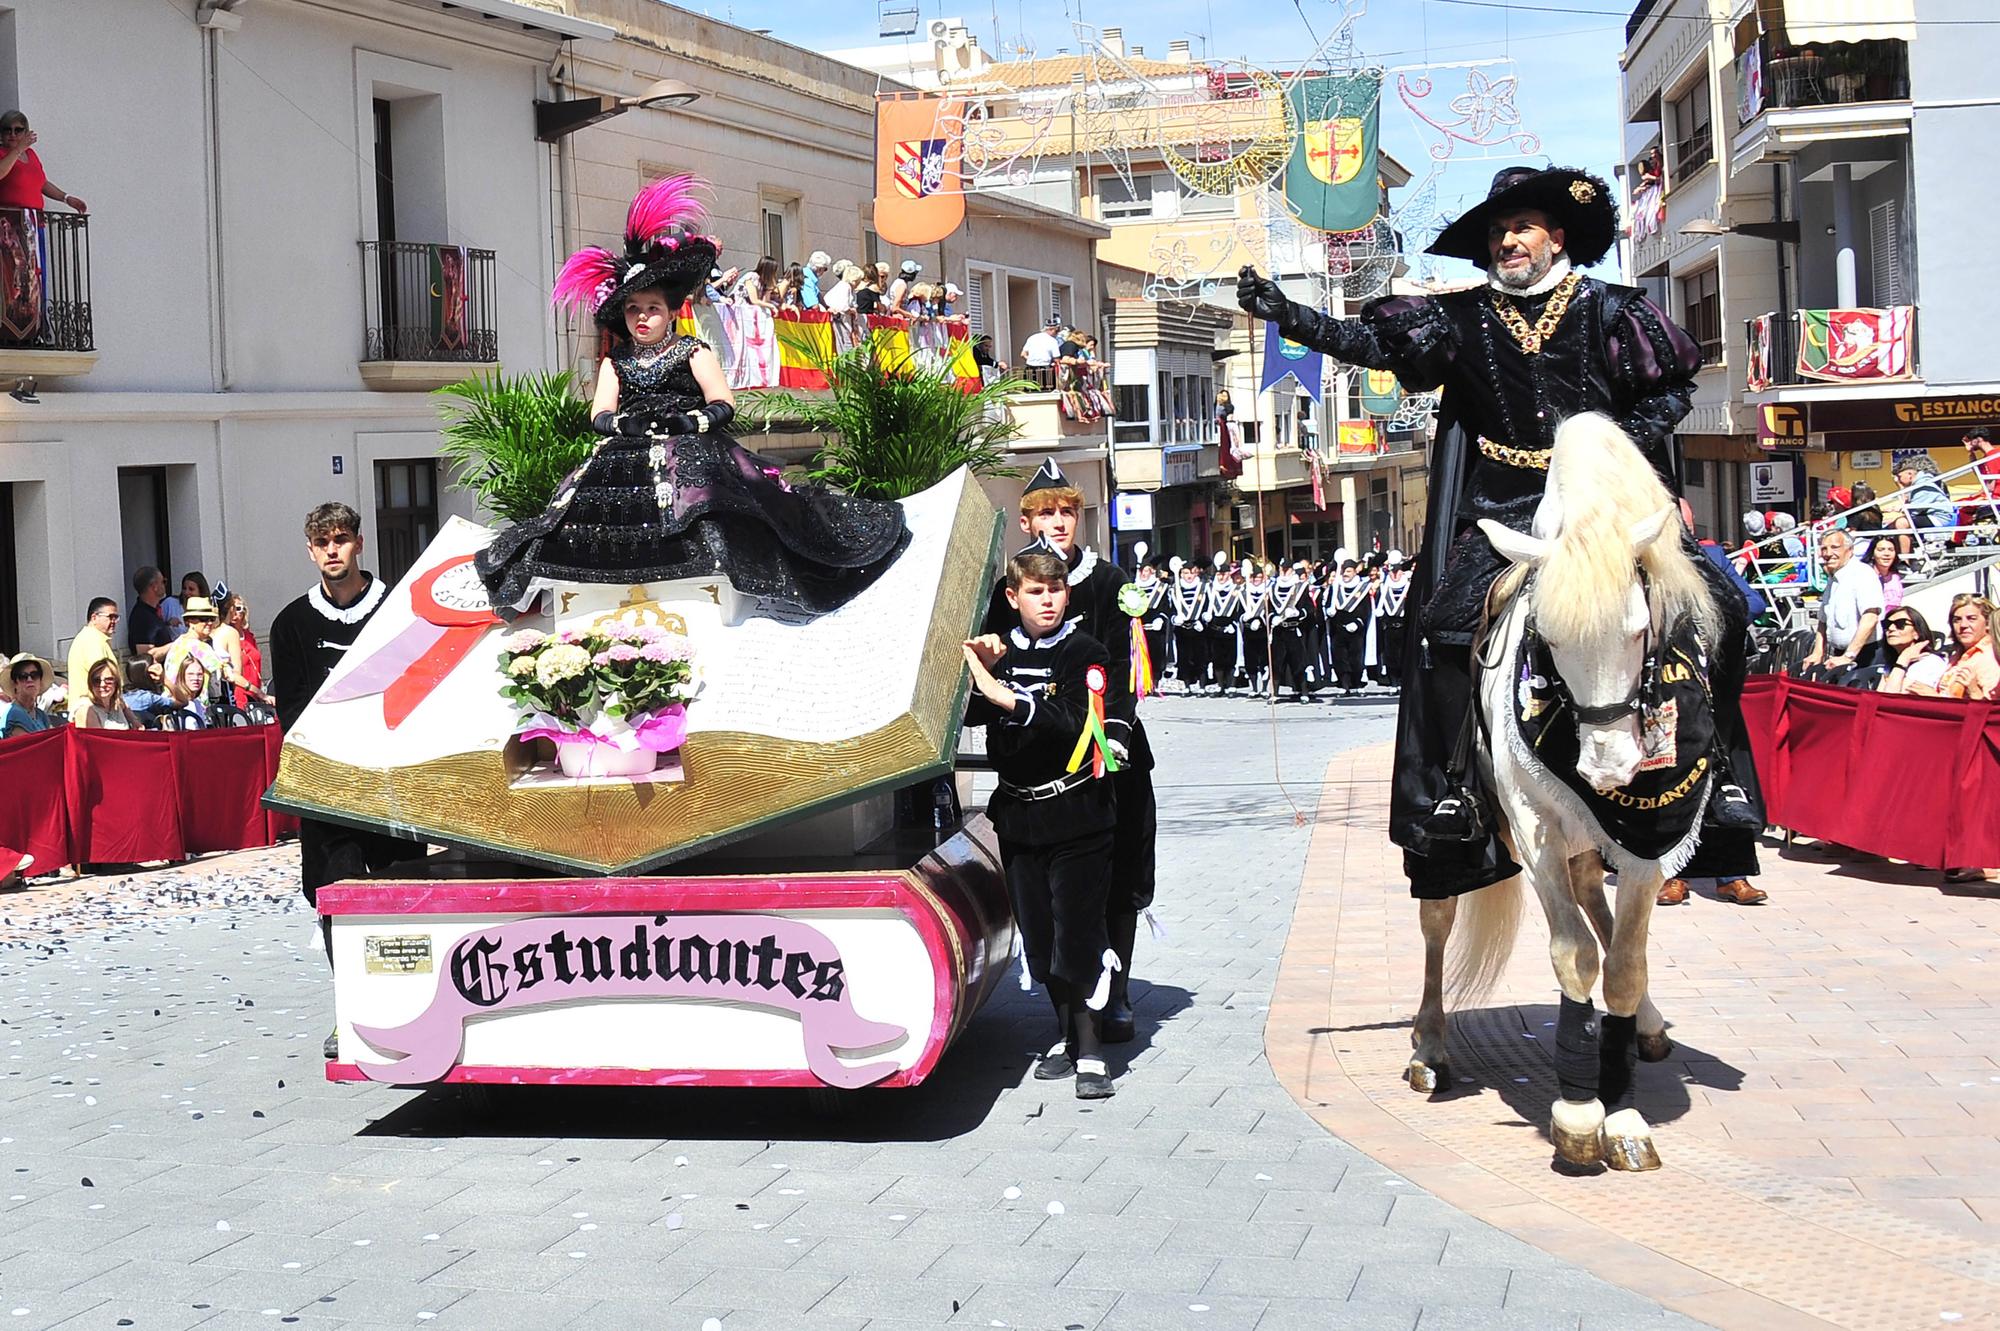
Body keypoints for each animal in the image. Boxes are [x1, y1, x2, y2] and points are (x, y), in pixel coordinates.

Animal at [1408, 409, 1720, 1167]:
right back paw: (1429, 1047)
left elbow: (1625, 963)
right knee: (1438, 918)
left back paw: (1648, 1027)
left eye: (1639, 629)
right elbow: (1573, 955)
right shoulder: (1536, 827)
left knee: (1592, 899)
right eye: (1545, 635)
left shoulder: (1646, 841)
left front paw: (1625, 1114)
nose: (1607, 768)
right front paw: (1580, 1113)